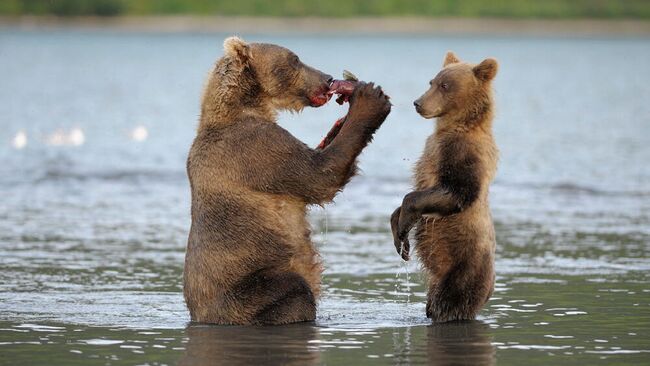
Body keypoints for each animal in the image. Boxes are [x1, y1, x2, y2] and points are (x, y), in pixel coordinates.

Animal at [185, 35, 392, 324]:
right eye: (295, 59)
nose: (328, 79)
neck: (243, 105)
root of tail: (201, 315)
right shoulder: (256, 150)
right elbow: (319, 176)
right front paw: (370, 100)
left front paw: (338, 124)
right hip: (247, 288)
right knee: (294, 290)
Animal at [390, 52, 496, 324]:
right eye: (432, 82)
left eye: (445, 86)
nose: (418, 103)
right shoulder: (432, 150)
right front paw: (400, 238)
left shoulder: (463, 154)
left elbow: (457, 192)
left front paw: (405, 223)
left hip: (463, 269)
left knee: (448, 303)